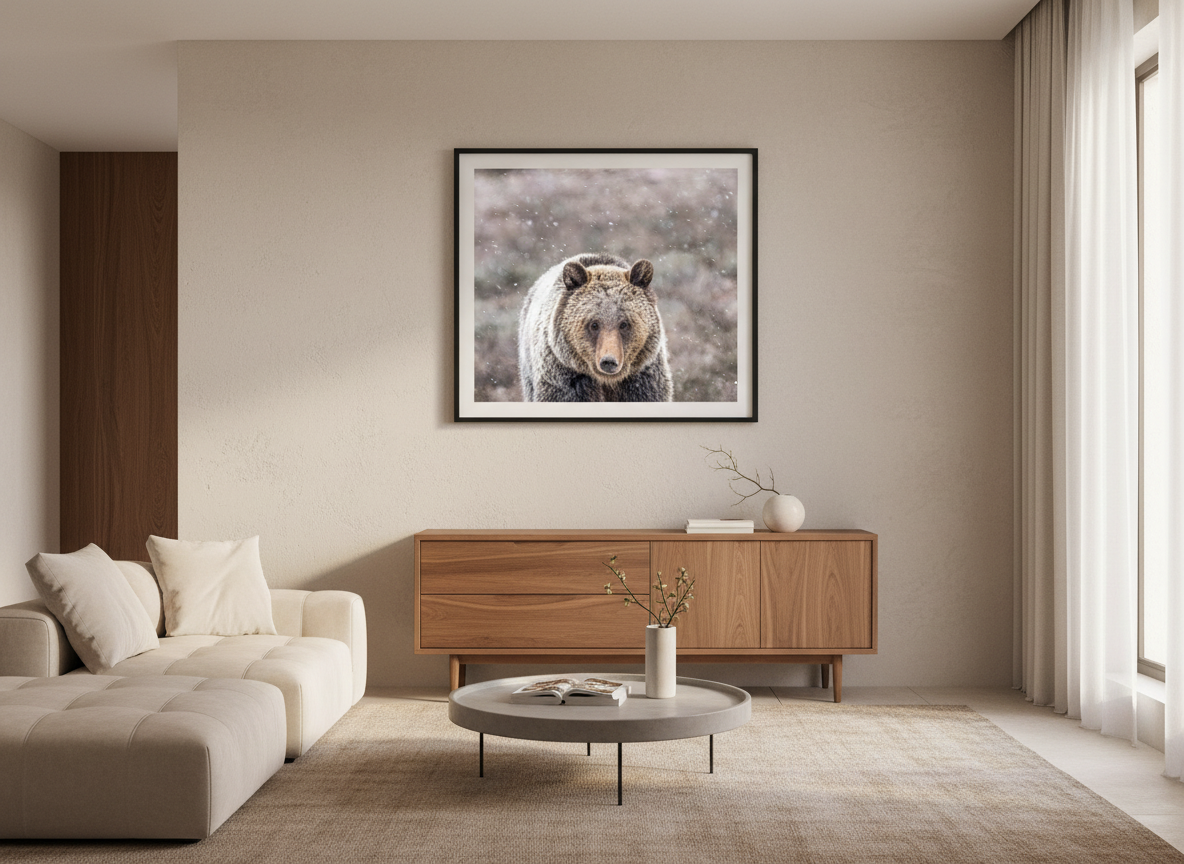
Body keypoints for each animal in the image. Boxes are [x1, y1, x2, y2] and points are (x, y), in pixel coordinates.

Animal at [518, 253, 674, 403]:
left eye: (624, 324)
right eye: (594, 324)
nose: (609, 361)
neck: (606, 381)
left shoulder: (642, 377)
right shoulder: (566, 377)